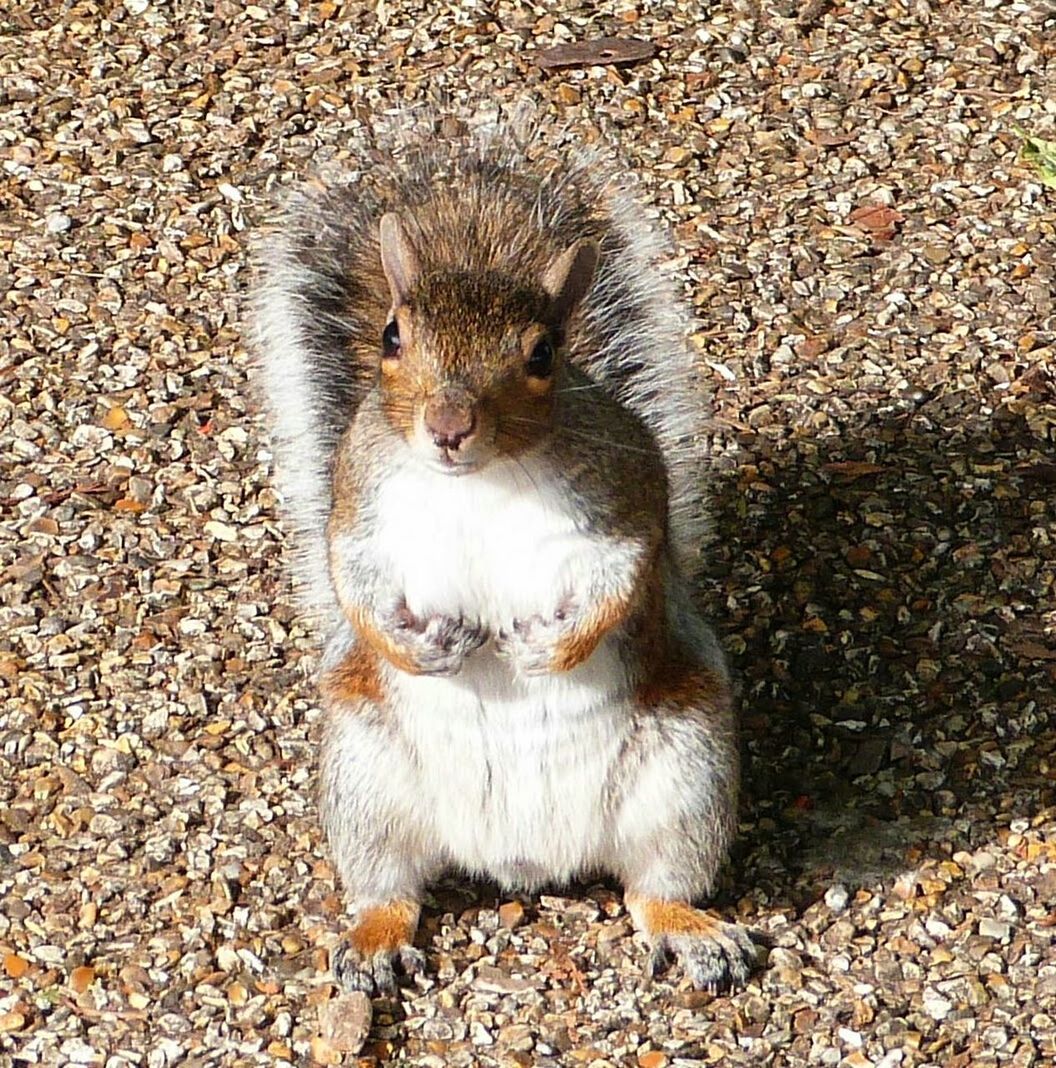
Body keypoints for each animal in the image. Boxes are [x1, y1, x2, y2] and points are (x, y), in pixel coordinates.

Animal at [248, 112, 760, 995]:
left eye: (543, 354)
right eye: (391, 335)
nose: (448, 425)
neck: (479, 481)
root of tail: (525, 861)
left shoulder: (623, 503)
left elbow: (622, 579)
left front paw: (547, 649)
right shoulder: (359, 509)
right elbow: (354, 582)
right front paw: (423, 649)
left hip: (686, 777)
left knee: (656, 886)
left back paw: (693, 930)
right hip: (365, 783)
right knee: (391, 888)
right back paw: (374, 940)